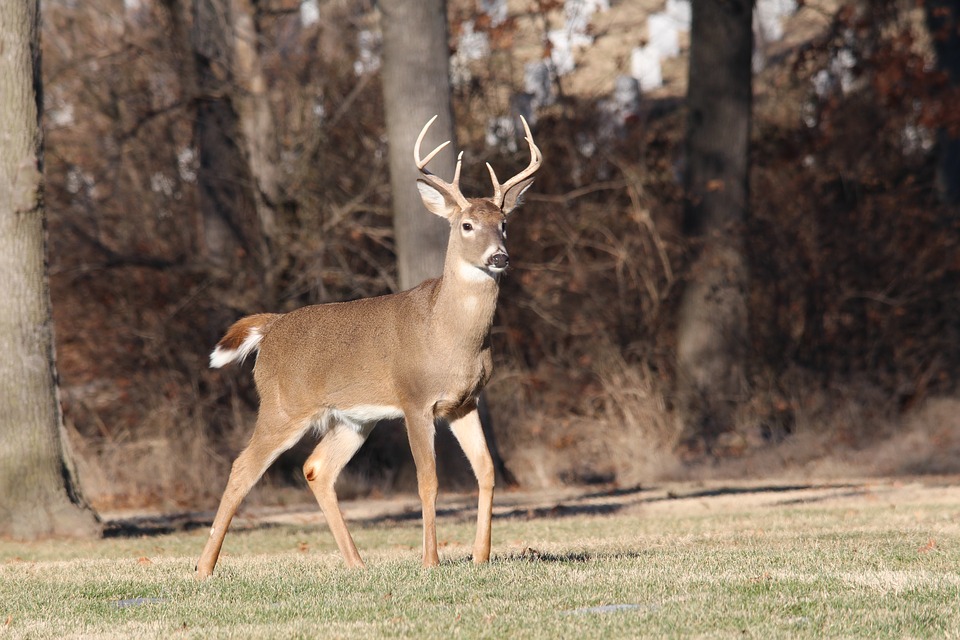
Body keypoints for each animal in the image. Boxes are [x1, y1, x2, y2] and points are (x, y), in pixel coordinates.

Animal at [196, 115, 541, 578]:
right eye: (466, 225)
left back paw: (356, 563)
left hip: (353, 418)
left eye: (504, 223)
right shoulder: (415, 399)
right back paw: (204, 568)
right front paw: (431, 561)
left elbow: (485, 471)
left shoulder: (465, 402)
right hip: (282, 406)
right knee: (242, 467)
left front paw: (480, 556)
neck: (451, 337)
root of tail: (270, 328)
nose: (499, 257)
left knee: (316, 468)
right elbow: (428, 481)